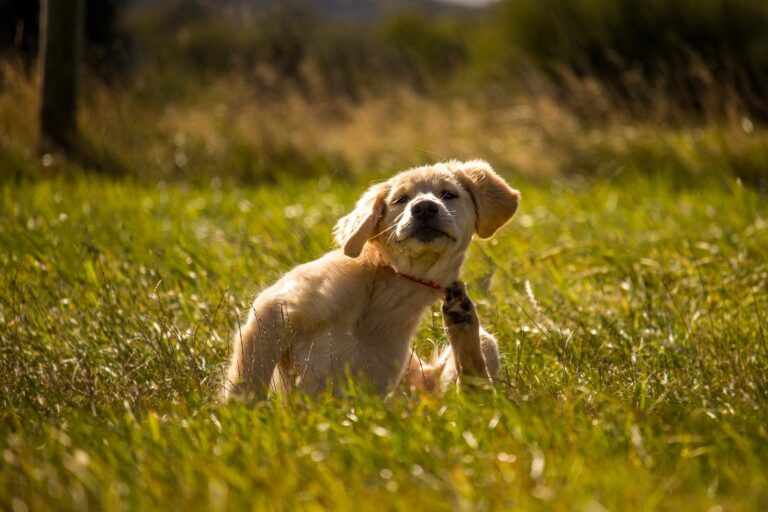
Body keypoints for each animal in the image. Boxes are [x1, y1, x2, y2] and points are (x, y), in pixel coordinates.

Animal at [224, 160, 520, 400]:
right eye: (401, 199)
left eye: (449, 194)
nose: (424, 208)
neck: (388, 287)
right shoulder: (275, 310)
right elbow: (247, 380)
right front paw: (241, 419)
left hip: (473, 353)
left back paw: (461, 317)